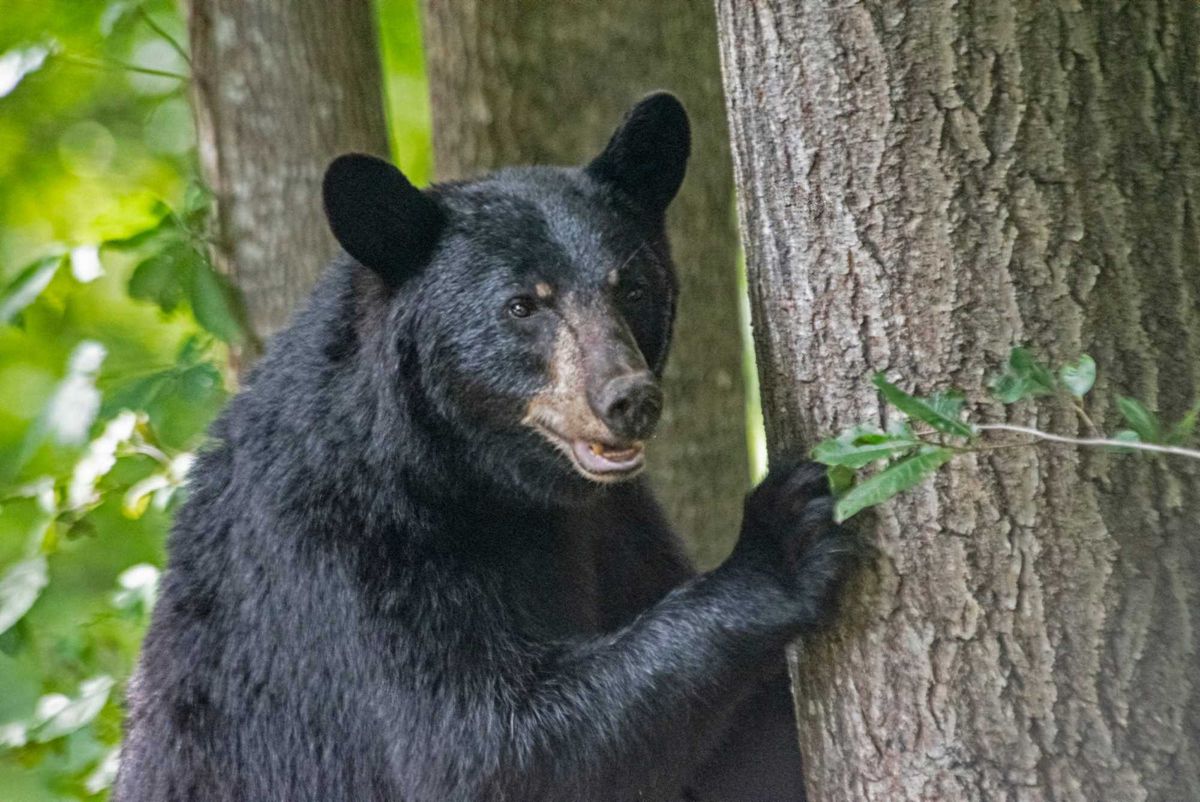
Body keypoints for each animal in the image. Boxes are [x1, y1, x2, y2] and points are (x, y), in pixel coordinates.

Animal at [112, 92, 856, 802]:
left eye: (633, 287)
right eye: (523, 305)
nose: (628, 399)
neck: (481, 479)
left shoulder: (615, 524)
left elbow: (744, 751)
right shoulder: (344, 551)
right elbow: (480, 747)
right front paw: (780, 541)